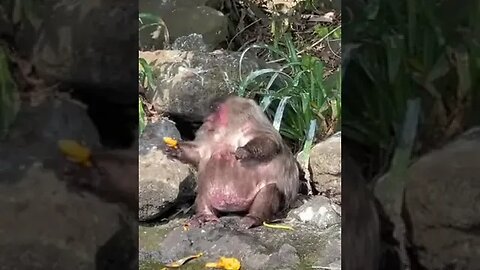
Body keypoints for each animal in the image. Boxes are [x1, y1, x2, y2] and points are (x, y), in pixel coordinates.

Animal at [166, 96, 300, 229]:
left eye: (217, 110)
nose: (207, 118)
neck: (229, 130)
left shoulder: (255, 126)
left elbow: (269, 142)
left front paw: (245, 150)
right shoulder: (208, 136)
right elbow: (198, 153)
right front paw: (176, 150)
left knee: (269, 189)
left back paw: (253, 218)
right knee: (203, 191)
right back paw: (204, 215)